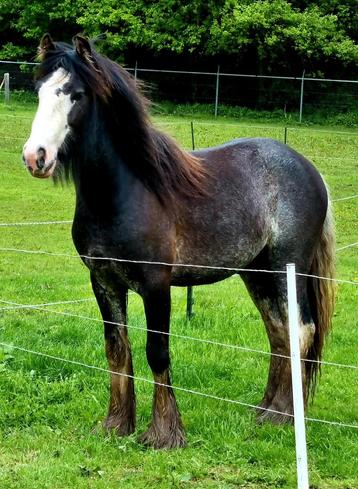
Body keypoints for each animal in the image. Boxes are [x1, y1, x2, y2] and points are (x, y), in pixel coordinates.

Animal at [22, 33, 336, 446]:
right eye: (40, 91)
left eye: (76, 94)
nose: (35, 157)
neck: (127, 192)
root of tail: (309, 169)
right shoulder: (103, 282)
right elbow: (116, 350)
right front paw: (116, 424)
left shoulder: (157, 285)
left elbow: (157, 352)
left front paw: (163, 434)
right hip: (258, 274)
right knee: (279, 333)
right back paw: (264, 411)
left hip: (289, 269)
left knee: (300, 332)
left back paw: (282, 416)